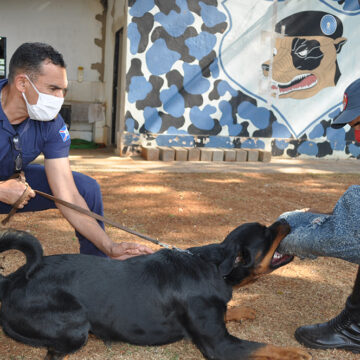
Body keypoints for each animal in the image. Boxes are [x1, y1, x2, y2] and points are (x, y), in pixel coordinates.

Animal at [0, 221, 310, 358]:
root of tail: (12, 280)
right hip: (75, 324)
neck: (213, 267)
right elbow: (262, 346)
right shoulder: (220, 345)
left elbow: (228, 312)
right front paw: (295, 353)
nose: (285, 221)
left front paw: (243, 309)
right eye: (267, 232)